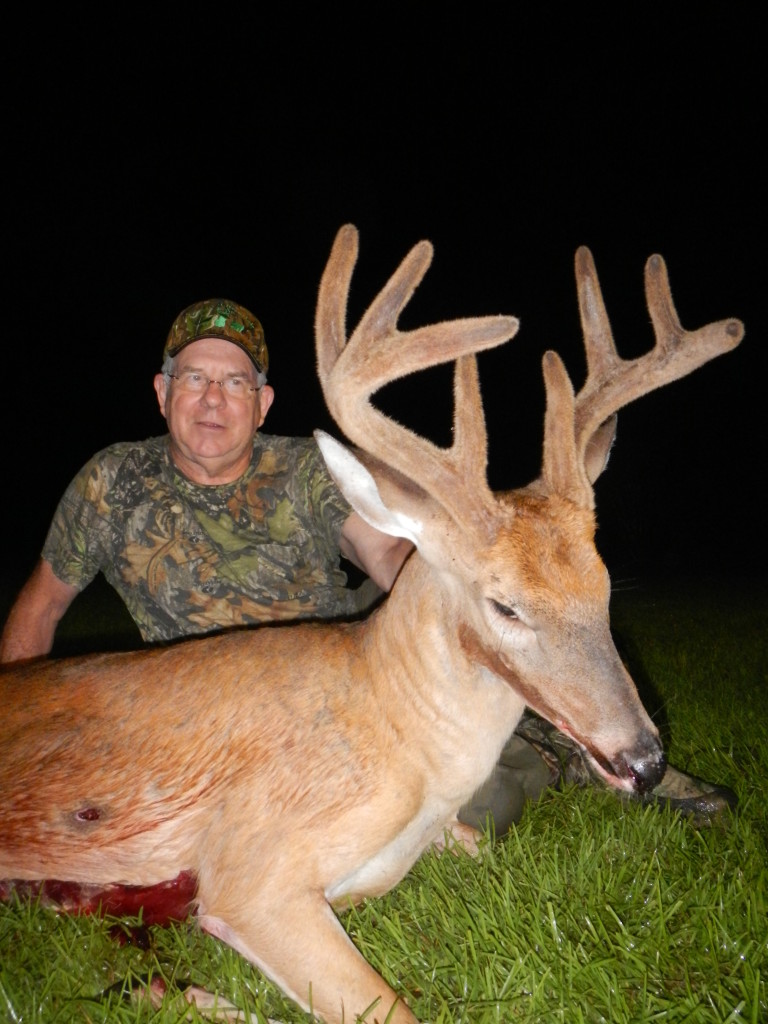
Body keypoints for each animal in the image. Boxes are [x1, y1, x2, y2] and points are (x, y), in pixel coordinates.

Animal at [0, 224, 743, 1024]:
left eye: (604, 586)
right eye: (505, 604)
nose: (645, 761)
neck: (406, 734)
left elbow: (487, 849)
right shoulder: (249, 873)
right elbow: (391, 1009)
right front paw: (180, 991)